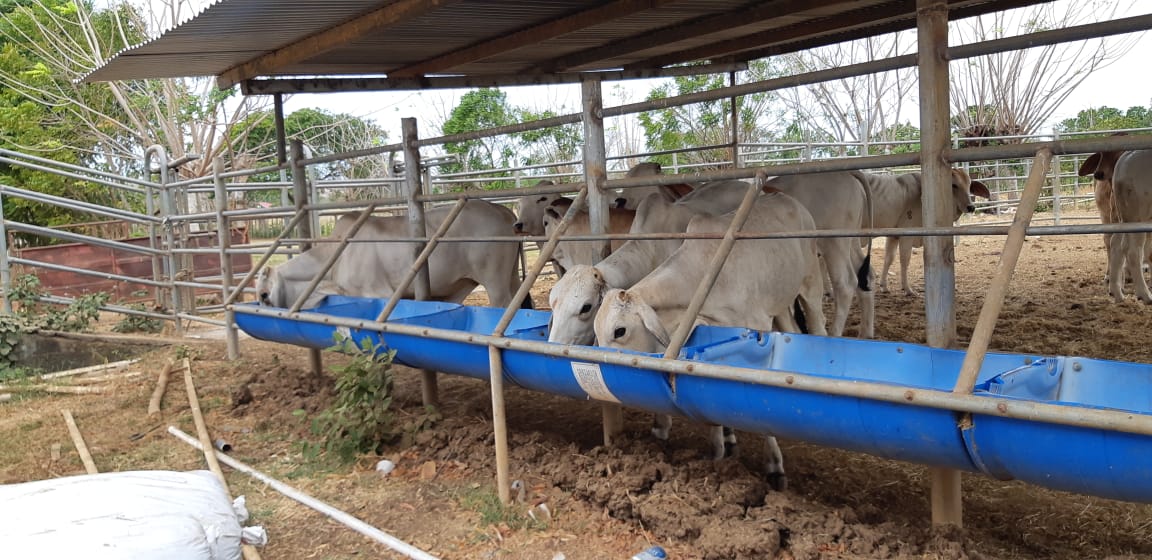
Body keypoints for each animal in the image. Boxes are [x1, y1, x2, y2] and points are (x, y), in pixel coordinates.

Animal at [594, 190, 829, 488]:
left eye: (619, 331)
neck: (701, 276)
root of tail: (789, 200)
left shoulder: (758, 329)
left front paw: (774, 466)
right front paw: (719, 452)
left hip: (811, 284)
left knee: (819, 327)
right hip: (781, 306)